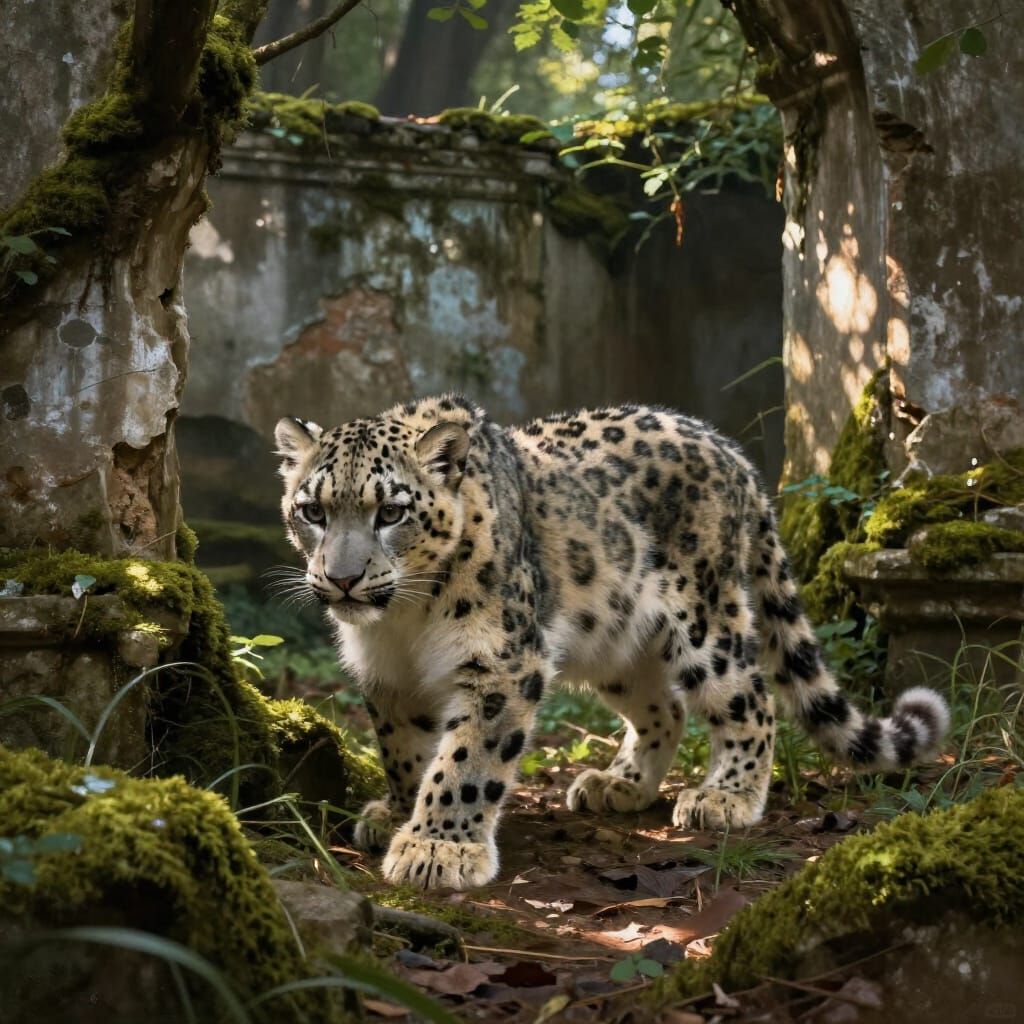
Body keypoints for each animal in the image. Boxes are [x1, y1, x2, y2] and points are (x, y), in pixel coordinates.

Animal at [274, 394, 949, 891]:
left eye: (390, 512)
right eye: (312, 511)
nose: (342, 578)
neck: (404, 621)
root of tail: (731, 452)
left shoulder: (503, 660)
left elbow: (467, 760)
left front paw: (437, 848)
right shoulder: (386, 674)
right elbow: (402, 748)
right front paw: (396, 810)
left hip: (706, 620)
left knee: (749, 698)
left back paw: (724, 796)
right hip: (618, 648)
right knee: (665, 707)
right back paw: (618, 784)